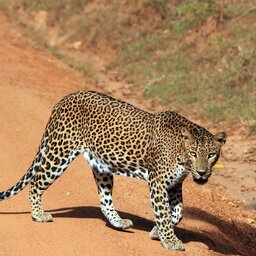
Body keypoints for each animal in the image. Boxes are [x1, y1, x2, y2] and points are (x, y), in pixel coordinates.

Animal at [0, 91, 227, 251]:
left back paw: (118, 222)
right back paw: (38, 214)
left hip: (101, 167)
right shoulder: (157, 183)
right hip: (59, 153)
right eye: (193, 153)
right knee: (36, 182)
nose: (202, 173)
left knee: (104, 199)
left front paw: (157, 232)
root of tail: (65, 98)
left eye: (211, 155)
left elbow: (178, 212)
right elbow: (163, 212)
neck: (180, 155)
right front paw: (170, 240)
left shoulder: (175, 185)